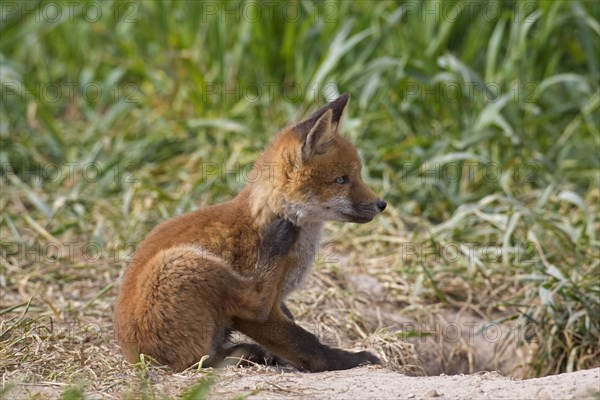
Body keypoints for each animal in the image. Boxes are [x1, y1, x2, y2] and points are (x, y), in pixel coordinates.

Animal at [114, 94, 386, 372]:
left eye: (358, 175)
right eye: (342, 180)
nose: (382, 204)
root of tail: (137, 360)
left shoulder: (279, 303)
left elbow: (292, 323)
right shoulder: (262, 316)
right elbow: (304, 341)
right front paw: (349, 360)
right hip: (183, 264)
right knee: (253, 304)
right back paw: (275, 243)